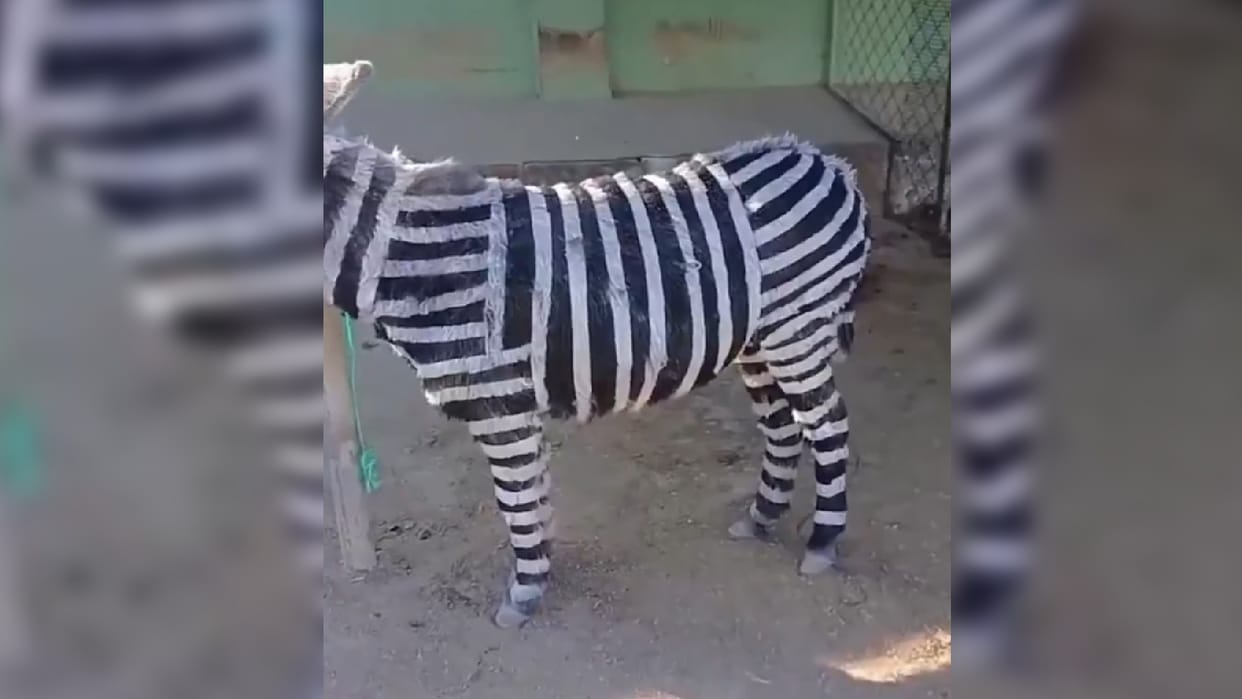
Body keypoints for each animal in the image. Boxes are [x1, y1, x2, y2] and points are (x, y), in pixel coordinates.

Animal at [323, 62, 873, 628]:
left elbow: (516, 497)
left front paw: (523, 592)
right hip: (760, 340)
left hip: (797, 331)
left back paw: (822, 541)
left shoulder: (499, 400)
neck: (419, 259)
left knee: (828, 425)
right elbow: (535, 491)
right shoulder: (514, 403)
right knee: (783, 425)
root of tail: (824, 161)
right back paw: (761, 518)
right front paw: (540, 568)